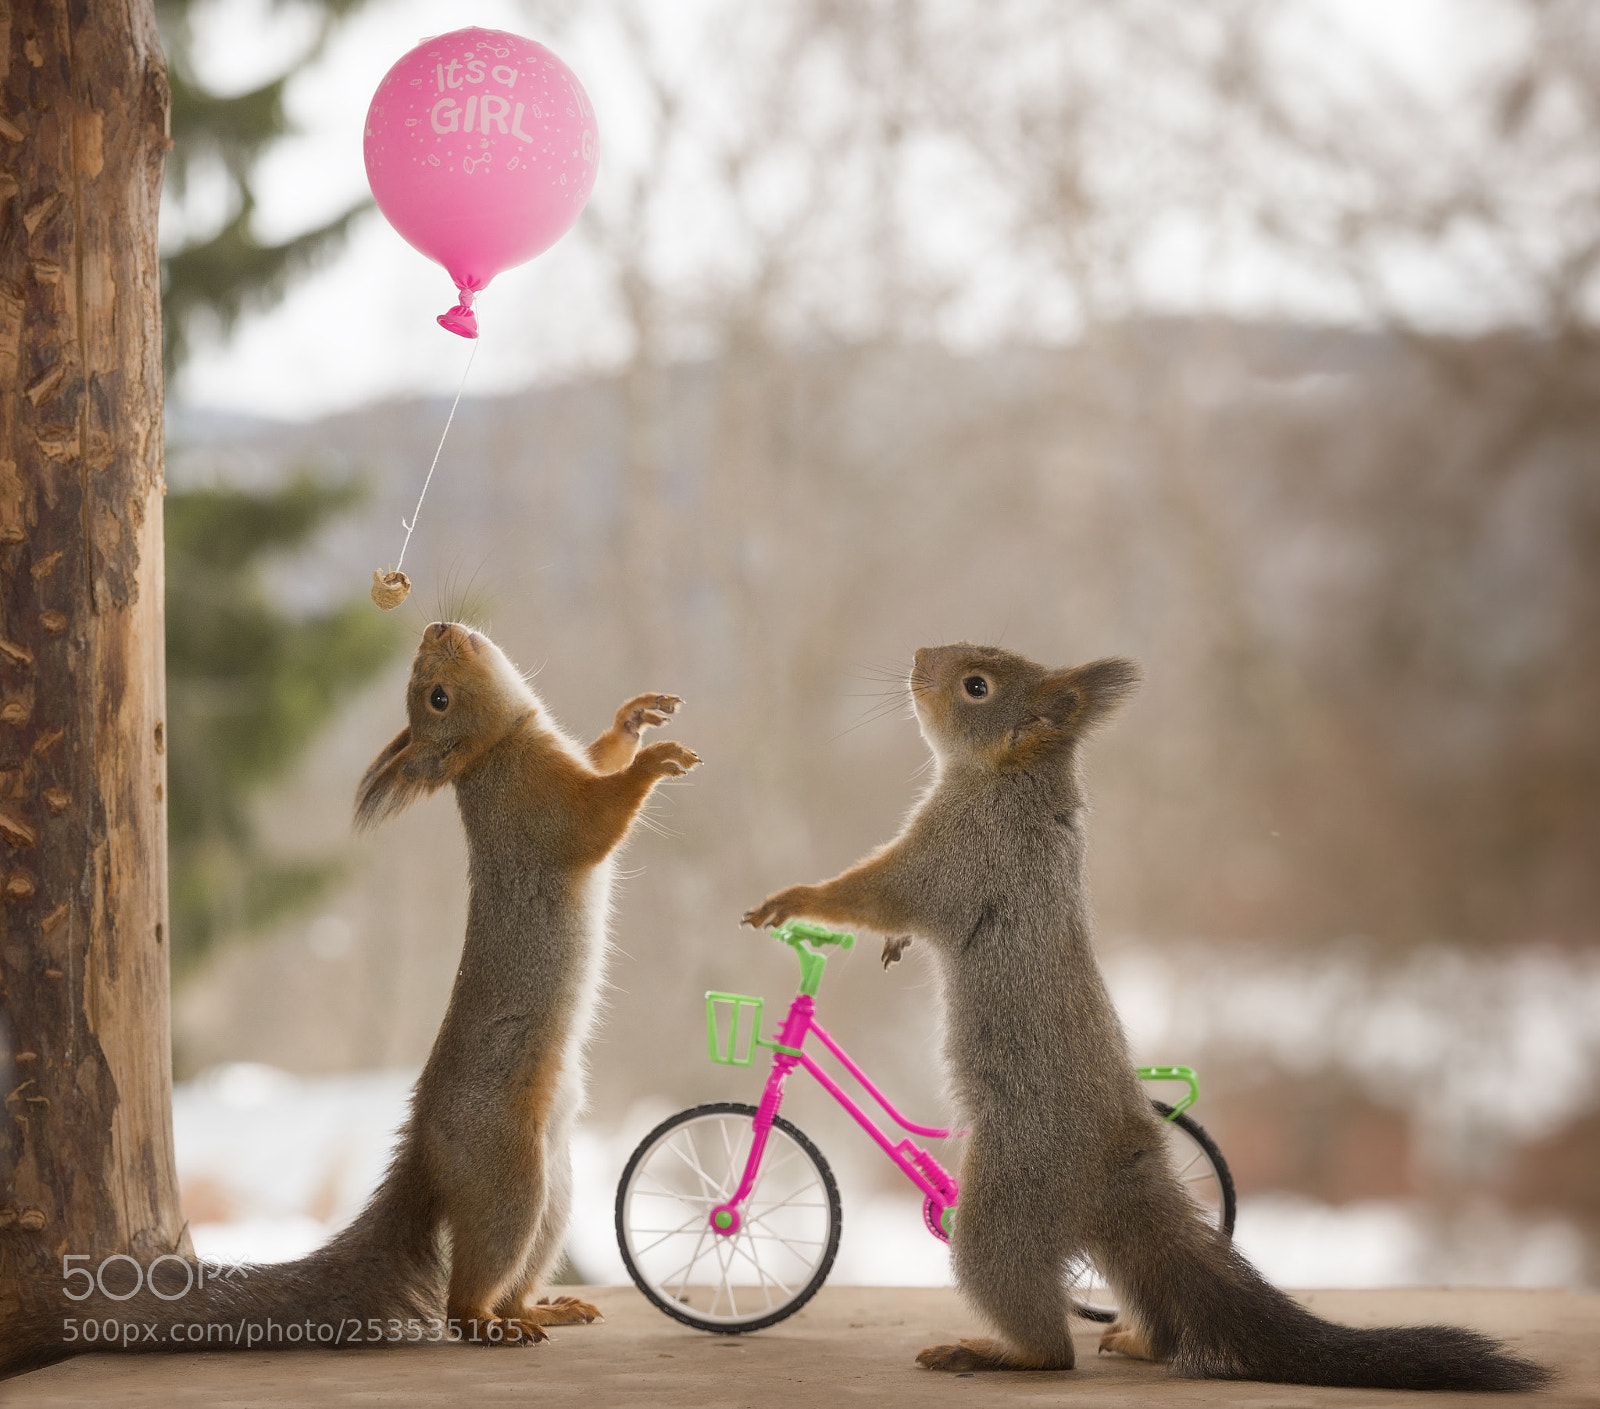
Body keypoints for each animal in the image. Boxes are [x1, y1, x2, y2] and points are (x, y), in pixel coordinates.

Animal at [3, 622, 700, 1378]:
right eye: (437, 696)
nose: (437, 628)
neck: (503, 746)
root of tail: (427, 1148)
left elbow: (599, 757)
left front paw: (633, 721)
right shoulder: (540, 809)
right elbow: (598, 818)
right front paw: (653, 761)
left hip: (556, 1187)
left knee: (516, 1275)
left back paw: (541, 1309)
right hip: (508, 1171)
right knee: (465, 1294)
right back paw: (490, 1324)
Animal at [743, 642, 1548, 1392]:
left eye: (977, 685)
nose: (918, 658)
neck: (1013, 779)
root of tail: (1120, 1162)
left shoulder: (957, 851)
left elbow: (877, 892)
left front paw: (796, 899)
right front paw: (889, 946)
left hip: (1005, 1201)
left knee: (1050, 1344)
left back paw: (996, 1350)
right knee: (1149, 1314)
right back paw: (1135, 1340)